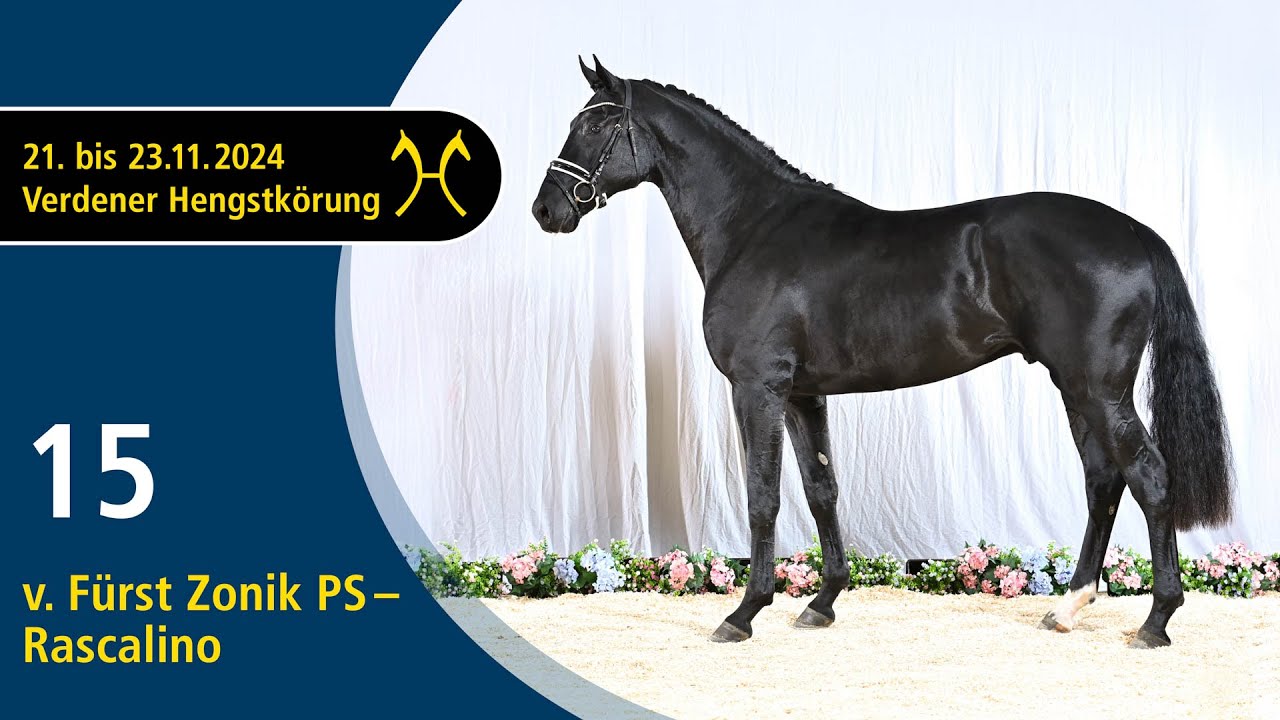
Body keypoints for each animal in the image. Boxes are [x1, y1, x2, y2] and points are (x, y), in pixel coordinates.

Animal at [531, 56, 1232, 648]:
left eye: (594, 124)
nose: (545, 209)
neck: (754, 228)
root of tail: (1134, 231)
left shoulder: (758, 387)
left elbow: (763, 495)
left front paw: (743, 614)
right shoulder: (802, 394)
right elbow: (821, 489)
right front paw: (822, 603)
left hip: (1098, 388)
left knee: (1149, 476)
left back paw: (1156, 621)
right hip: (1078, 388)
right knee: (1102, 479)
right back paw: (1067, 607)